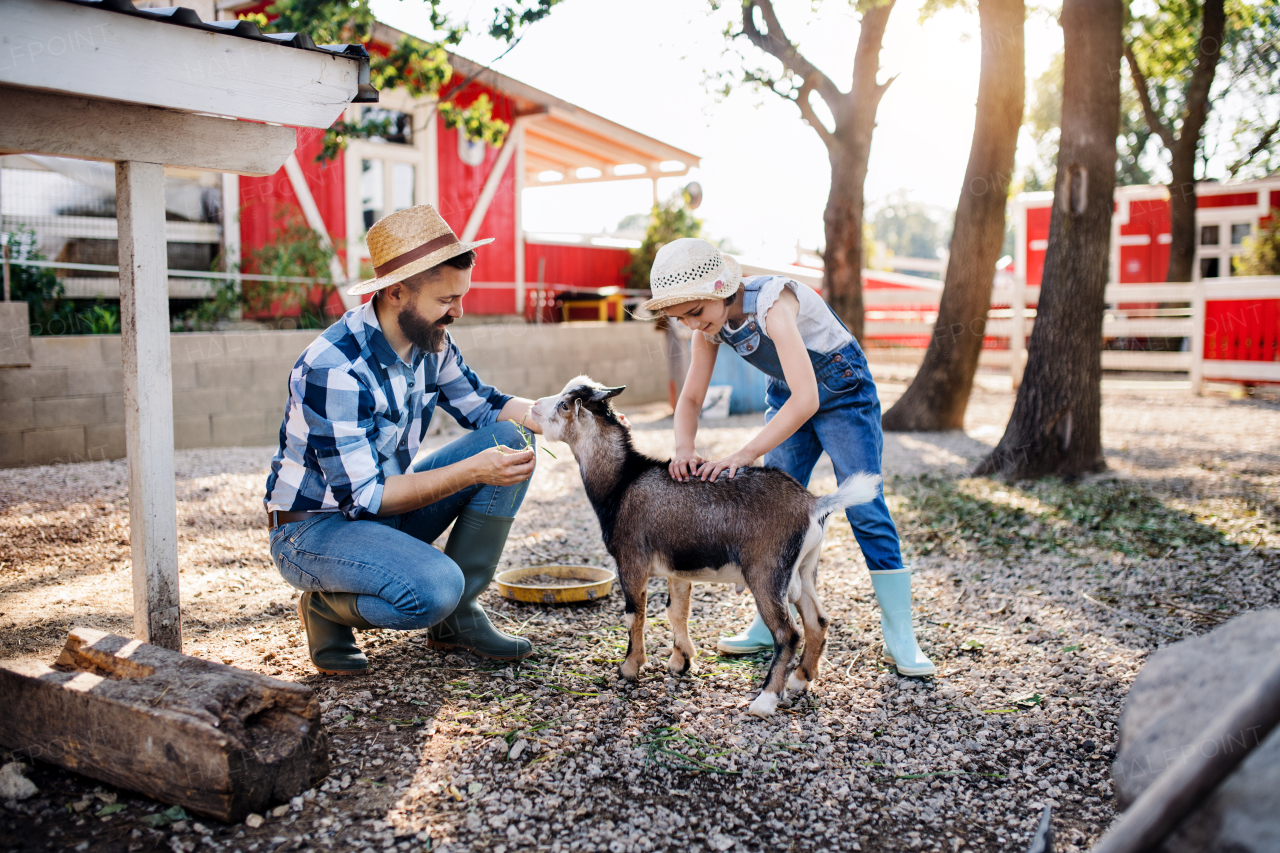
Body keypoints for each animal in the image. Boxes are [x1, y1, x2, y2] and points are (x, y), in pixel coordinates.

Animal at [529, 376, 880, 712]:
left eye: (564, 405)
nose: (533, 406)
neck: (623, 482)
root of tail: (813, 504)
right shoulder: (677, 570)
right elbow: (676, 612)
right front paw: (680, 662)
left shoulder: (631, 561)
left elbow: (634, 614)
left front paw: (629, 668)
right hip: (804, 570)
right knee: (817, 621)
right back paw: (800, 679)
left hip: (766, 573)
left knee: (787, 632)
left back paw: (765, 700)